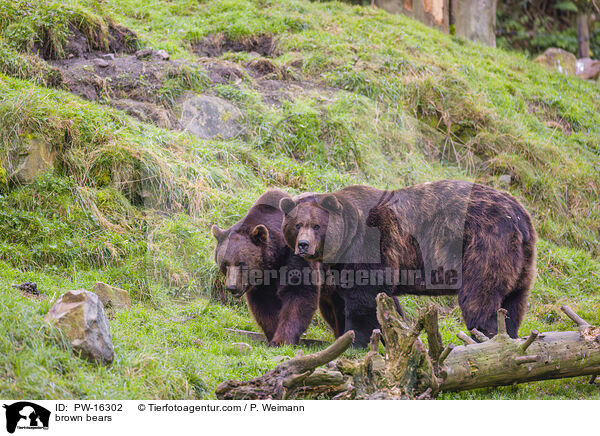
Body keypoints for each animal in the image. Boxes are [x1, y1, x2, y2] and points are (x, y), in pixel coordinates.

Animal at [278, 180, 536, 348]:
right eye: (297, 224)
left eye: (316, 225)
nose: (303, 245)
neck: (346, 240)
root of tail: (520, 217)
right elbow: (371, 301)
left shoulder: (372, 245)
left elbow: (363, 300)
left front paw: (357, 341)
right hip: (522, 263)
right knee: (514, 302)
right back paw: (510, 336)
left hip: (484, 245)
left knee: (479, 297)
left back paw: (485, 339)